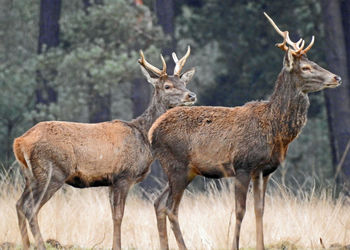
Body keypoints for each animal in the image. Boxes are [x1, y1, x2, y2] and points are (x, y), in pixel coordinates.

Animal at [13, 46, 197, 249]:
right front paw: (117, 246)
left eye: (183, 82)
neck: (144, 138)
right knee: (30, 208)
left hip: (30, 176)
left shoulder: (111, 180)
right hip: (52, 172)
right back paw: (39, 244)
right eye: (167, 86)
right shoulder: (124, 175)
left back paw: (26, 244)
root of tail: (19, 141)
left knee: (19, 204)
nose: (191, 95)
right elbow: (119, 216)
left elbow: (113, 215)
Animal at [148, 13, 342, 250]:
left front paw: (261, 245)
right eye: (305, 67)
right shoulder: (242, 165)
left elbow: (260, 210)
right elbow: (240, 210)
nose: (336, 77)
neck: (275, 129)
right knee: (170, 208)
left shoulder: (264, 170)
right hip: (176, 165)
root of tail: (151, 131)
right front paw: (234, 245)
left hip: (185, 171)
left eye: (314, 62)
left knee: (158, 203)